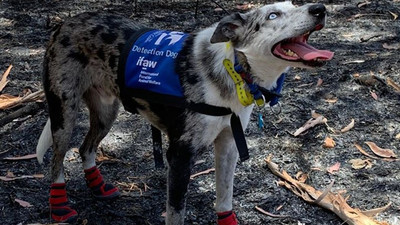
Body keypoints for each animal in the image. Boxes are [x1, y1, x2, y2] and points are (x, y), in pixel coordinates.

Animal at [36, 1, 332, 223]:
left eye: (294, 4)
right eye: (273, 15)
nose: (320, 8)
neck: (233, 69)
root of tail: (65, 23)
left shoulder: (228, 145)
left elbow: (224, 199)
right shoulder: (179, 156)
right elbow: (176, 213)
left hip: (106, 113)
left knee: (85, 148)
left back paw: (97, 186)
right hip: (64, 114)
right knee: (57, 160)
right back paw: (60, 207)